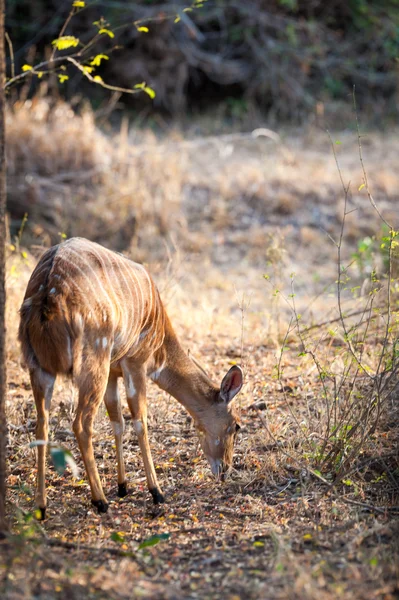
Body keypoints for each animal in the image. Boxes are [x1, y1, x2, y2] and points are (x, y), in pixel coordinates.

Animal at [18, 237, 244, 516]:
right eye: (236, 425)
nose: (225, 470)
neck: (160, 346)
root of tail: (47, 295)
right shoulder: (135, 361)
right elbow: (140, 421)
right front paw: (156, 492)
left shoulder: (114, 372)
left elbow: (117, 421)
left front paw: (123, 486)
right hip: (94, 360)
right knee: (81, 423)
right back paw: (100, 501)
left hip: (40, 366)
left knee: (42, 424)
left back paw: (41, 506)